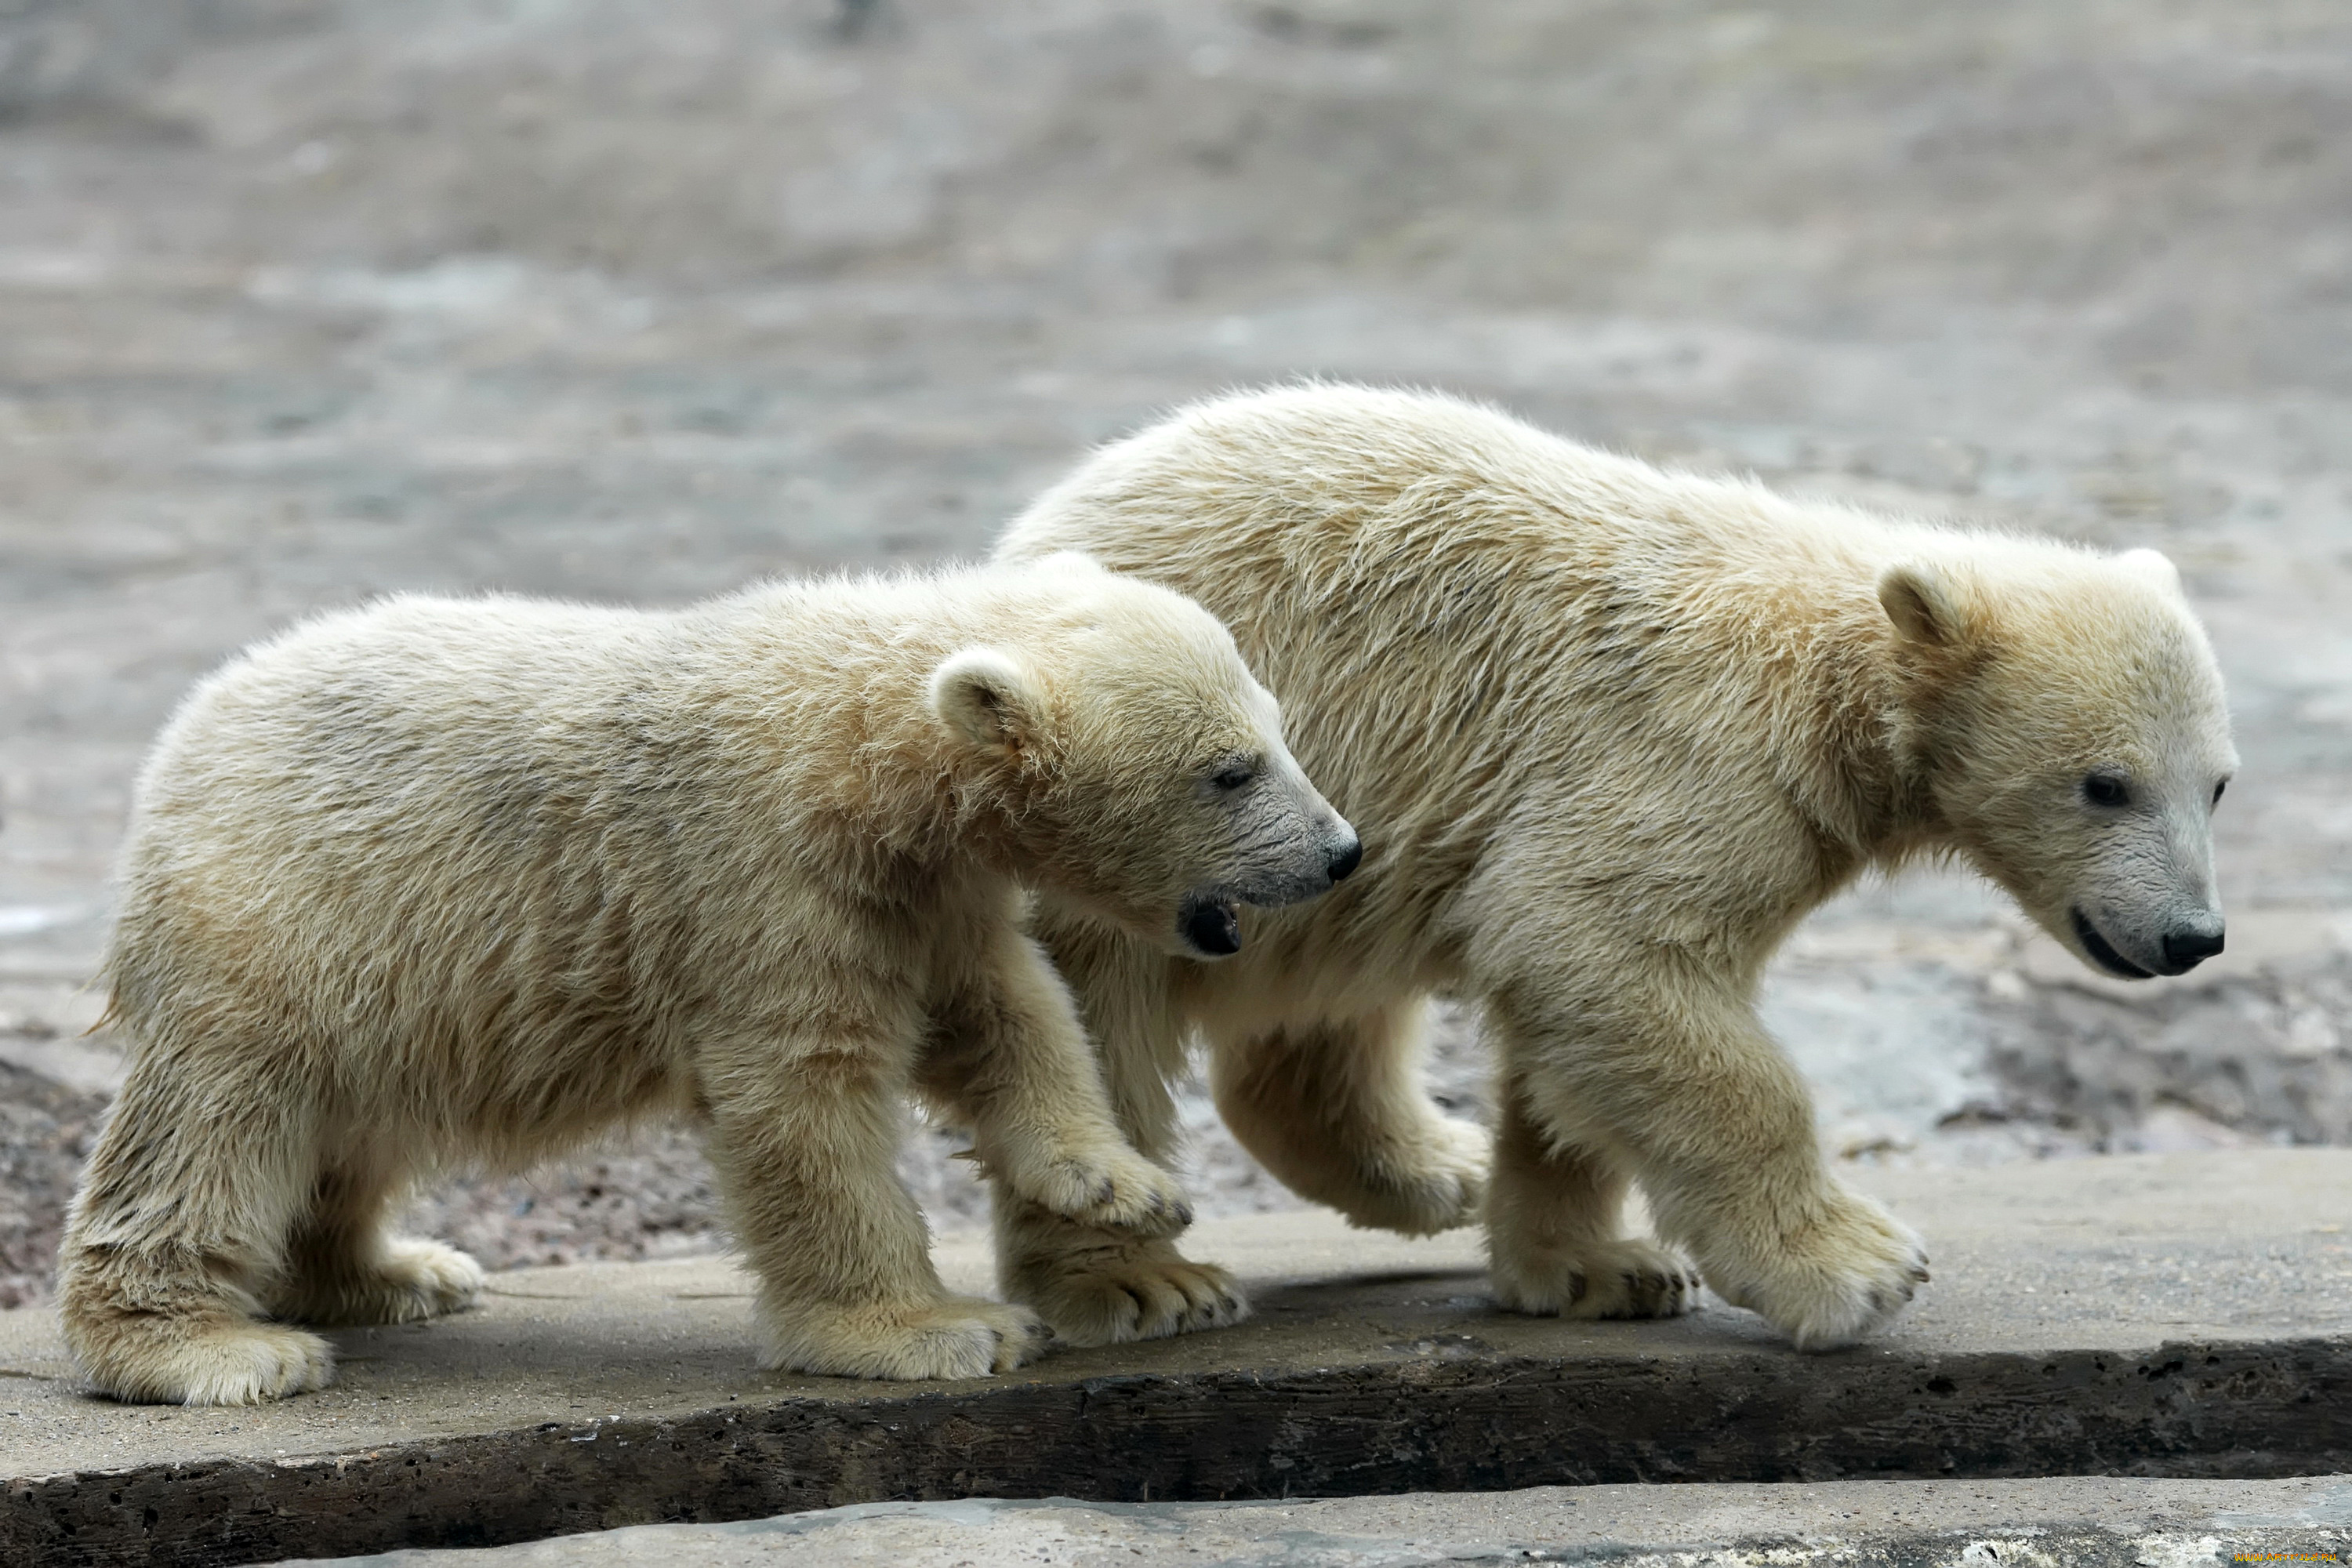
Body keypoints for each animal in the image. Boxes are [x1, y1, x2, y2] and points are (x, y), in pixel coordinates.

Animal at [60, 554, 1364, 1410]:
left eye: (1278, 726)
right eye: (1231, 769)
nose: (1343, 851)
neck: (853, 744)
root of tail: (186, 738)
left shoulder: (924, 895)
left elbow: (1007, 1013)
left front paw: (1120, 1185)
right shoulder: (754, 876)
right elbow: (805, 1101)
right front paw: (935, 1329)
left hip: (382, 973)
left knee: (352, 1122)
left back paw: (393, 1273)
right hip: (277, 916)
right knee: (219, 1125)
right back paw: (211, 1349)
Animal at [997, 380, 2239, 1354]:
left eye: (2219, 783)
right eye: (2105, 783)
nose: (2193, 936)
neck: (1830, 673)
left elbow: (1573, 1019)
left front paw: (1600, 1268)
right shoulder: (1688, 746)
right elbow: (1603, 943)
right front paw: (1859, 1266)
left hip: (1328, 844)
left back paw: (1431, 1164)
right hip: (1140, 819)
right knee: (1098, 1021)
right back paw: (1139, 1278)